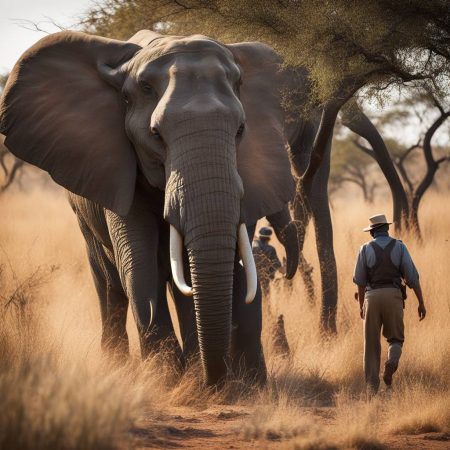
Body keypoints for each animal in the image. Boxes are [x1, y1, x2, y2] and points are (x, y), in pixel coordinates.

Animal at [0, 29, 304, 386]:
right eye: (156, 135)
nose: (217, 378)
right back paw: (118, 364)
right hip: (82, 214)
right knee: (109, 283)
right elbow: (139, 262)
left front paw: (230, 384)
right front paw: (166, 380)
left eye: (241, 130)